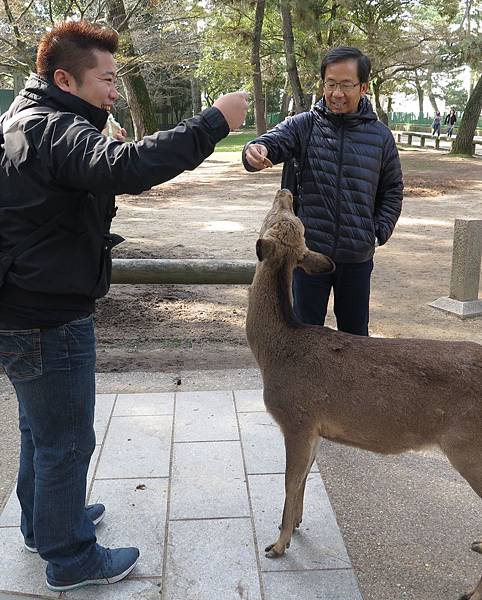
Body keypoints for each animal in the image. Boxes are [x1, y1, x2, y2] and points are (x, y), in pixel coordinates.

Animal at [247, 189, 482, 600]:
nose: (285, 191)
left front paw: (277, 545)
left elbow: (289, 480)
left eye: (280, 217)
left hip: (469, 446)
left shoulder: (296, 418)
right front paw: (295, 525)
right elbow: (303, 478)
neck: (274, 353)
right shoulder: (315, 429)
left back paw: (472, 591)